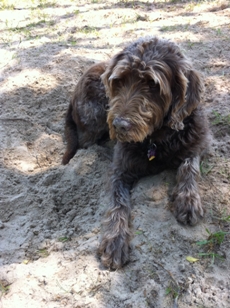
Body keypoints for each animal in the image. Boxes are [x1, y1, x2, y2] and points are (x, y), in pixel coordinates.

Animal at [62, 36, 210, 270]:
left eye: (153, 84)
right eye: (119, 81)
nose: (120, 125)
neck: (157, 139)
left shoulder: (199, 142)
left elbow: (189, 166)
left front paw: (188, 199)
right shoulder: (120, 172)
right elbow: (118, 202)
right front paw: (115, 240)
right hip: (94, 115)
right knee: (86, 142)